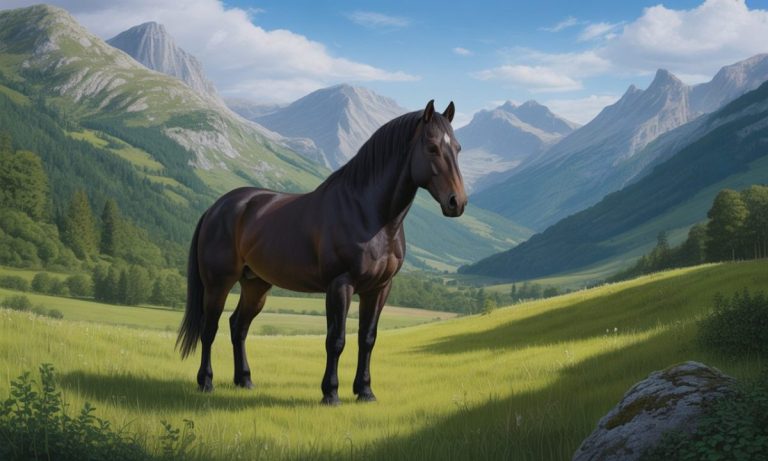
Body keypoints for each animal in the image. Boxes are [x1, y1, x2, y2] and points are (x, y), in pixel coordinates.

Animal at [176, 100, 467, 405]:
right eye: (432, 147)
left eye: (457, 148)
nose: (457, 202)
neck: (369, 214)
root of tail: (216, 208)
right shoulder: (340, 285)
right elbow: (336, 339)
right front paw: (331, 393)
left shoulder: (380, 288)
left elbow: (367, 338)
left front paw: (365, 391)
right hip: (218, 283)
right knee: (209, 329)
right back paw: (206, 382)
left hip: (256, 285)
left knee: (238, 327)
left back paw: (244, 380)